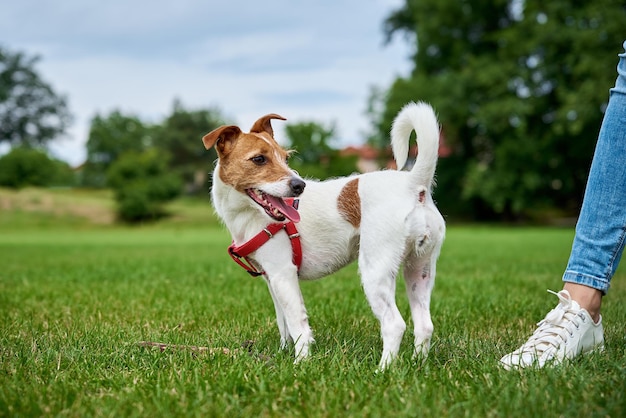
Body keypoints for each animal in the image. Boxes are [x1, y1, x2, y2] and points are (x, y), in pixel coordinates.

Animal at [201, 102, 444, 370]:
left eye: (285, 158)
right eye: (259, 159)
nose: (299, 185)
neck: (251, 215)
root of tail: (413, 183)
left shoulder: (283, 275)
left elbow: (297, 325)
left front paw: (300, 363)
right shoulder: (271, 279)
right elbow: (283, 323)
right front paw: (283, 353)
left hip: (375, 271)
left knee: (394, 324)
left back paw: (382, 371)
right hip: (419, 270)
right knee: (424, 325)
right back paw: (417, 364)